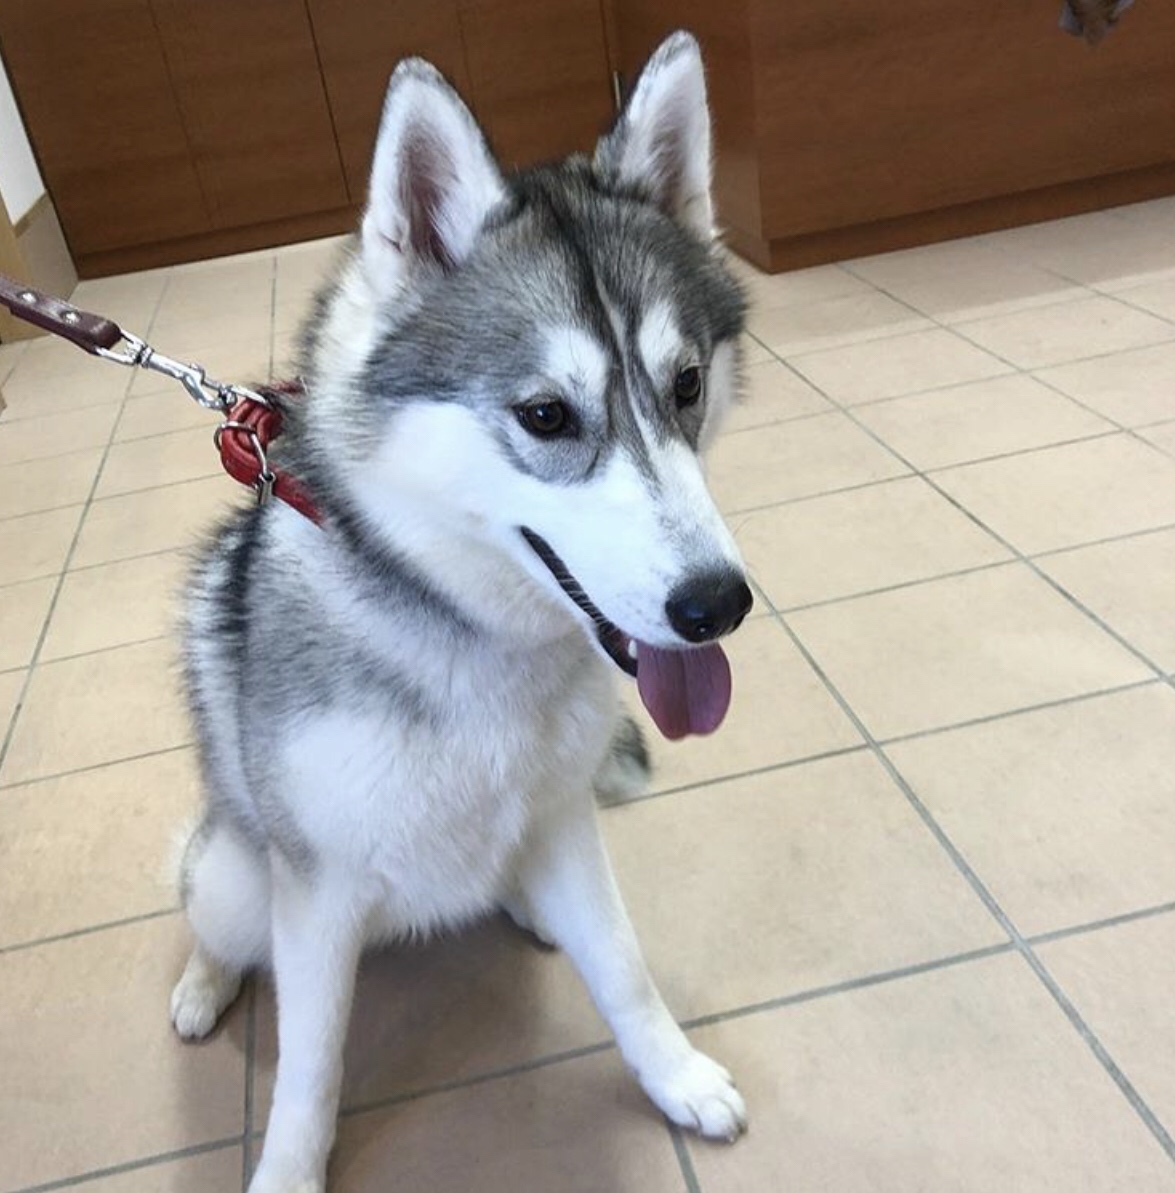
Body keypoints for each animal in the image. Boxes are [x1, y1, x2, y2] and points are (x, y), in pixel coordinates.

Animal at [170, 31, 752, 1193]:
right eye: (545, 415)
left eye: (685, 384)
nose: (718, 604)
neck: (476, 639)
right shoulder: (317, 891)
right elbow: (308, 1063)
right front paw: (287, 1168)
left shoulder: (566, 819)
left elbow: (622, 965)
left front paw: (673, 1074)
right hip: (231, 873)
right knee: (219, 921)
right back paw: (205, 985)